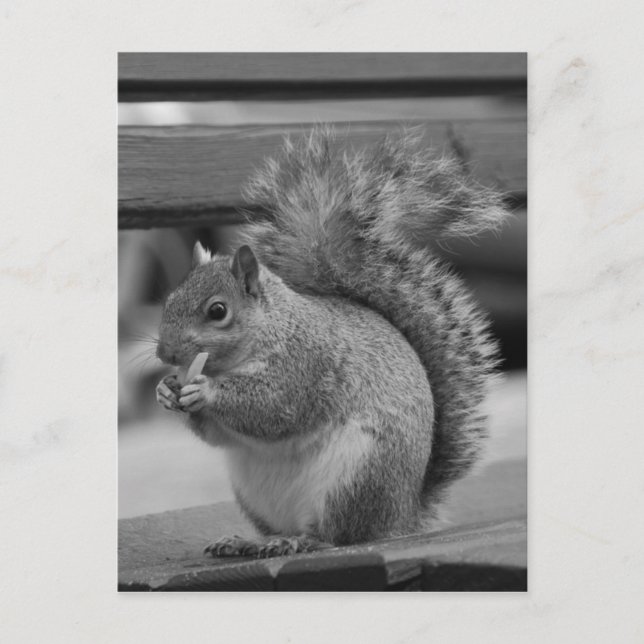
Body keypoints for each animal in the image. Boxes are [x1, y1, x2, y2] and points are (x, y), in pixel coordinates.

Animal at [155, 128, 508, 558]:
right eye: (169, 300)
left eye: (217, 310)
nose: (164, 353)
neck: (273, 328)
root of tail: (402, 515)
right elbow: (218, 435)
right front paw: (166, 390)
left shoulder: (306, 364)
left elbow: (273, 408)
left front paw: (204, 389)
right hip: (254, 493)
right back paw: (248, 541)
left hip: (357, 475)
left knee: (337, 535)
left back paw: (299, 541)